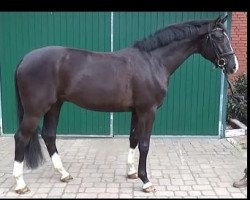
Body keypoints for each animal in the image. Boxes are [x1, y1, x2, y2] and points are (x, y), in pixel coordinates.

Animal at [13, 15, 238, 194]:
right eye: (219, 37)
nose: (233, 66)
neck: (153, 61)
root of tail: (25, 58)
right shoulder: (148, 111)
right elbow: (145, 144)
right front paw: (146, 181)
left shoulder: (137, 111)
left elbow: (134, 139)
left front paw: (131, 173)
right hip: (35, 110)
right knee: (21, 138)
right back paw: (20, 184)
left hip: (55, 105)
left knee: (49, 135)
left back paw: (63, 173)